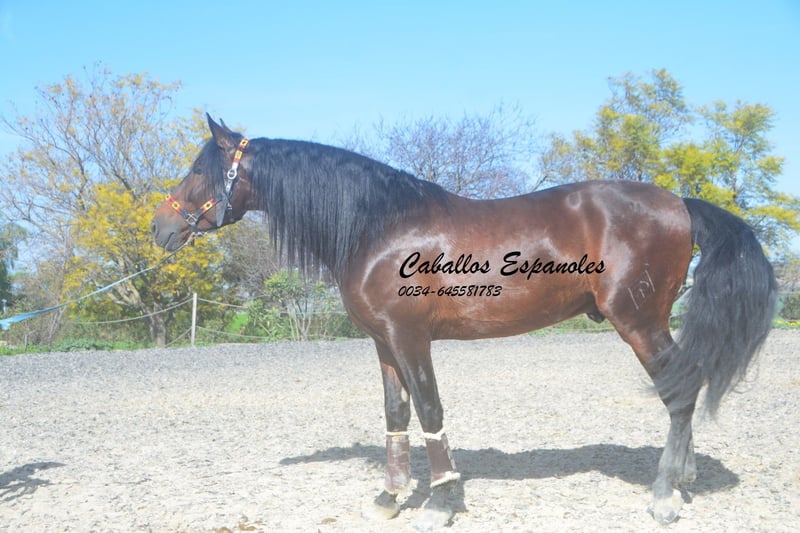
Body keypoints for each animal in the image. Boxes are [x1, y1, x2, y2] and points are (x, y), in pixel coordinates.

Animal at [151, 115, 776, 529]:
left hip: (638, 322)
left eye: (200, 169)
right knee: (686, 386)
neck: (381, 226)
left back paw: (665, 494)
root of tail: (679, 203)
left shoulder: (410, 338)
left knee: (678, 393)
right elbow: (397, 414)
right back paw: (685, 478)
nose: (160, 227)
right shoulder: (383, 343)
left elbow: (431, 410)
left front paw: (441, 501)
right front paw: (390, 496)